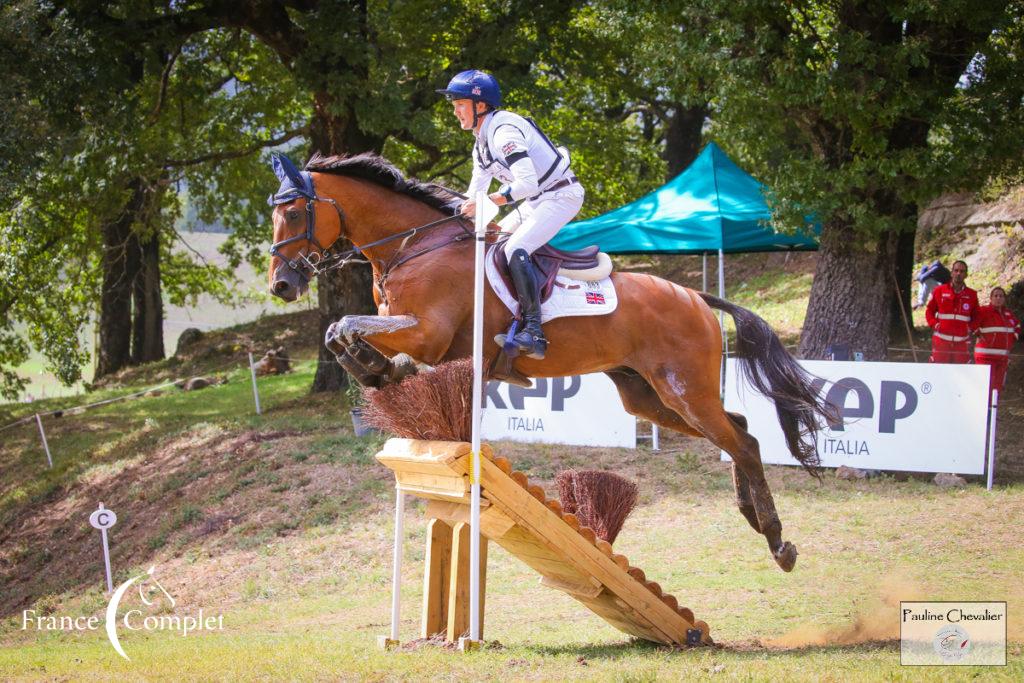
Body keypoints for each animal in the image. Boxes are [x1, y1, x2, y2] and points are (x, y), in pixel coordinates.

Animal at [264, 153, 831, 573]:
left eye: (292, 212)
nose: (281, 286)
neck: (414, 246)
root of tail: (695, 297)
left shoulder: (429, 334)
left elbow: (344, 326)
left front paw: (384, 370)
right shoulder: (416, 335)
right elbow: (344, 336)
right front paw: (381, 372)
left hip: (683, 389)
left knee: (742, 441)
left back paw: (778, 541)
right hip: (649, 396)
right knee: (739, 431)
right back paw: (754, 518)